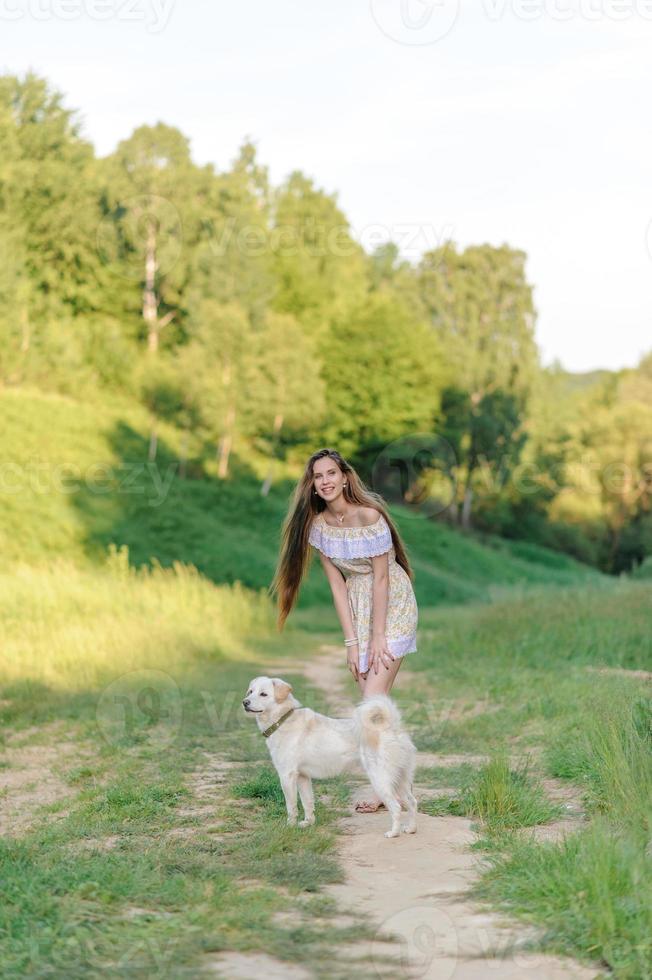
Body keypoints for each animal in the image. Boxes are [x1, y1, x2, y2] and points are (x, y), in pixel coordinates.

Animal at [241, 676, 418, 840]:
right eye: (250, 691)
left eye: (263, 694)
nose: (245, 702)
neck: (282, 720)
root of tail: (391, 727)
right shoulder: (303, 777)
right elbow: (307, 803)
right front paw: (308, 823)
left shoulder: (287, 776)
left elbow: (291, 806)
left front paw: (289, 827)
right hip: (401, 779)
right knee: (412, 802)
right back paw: (411, 829)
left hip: (381, 779)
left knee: (396, 807)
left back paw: (393, 833)